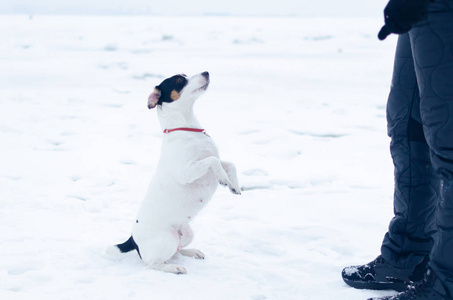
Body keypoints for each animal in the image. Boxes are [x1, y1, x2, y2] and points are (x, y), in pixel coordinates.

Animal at [107, 71, 240, 274]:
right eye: (179, 79)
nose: (206, 72)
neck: (188, 129)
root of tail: (132, 240)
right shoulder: (187, 172)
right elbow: (213, 161)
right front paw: (224, 179)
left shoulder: (211, 161)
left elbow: (229, 163)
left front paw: (234, 185)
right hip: (166, 240)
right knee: (154, 264)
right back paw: (175, 268)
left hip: (186, 234)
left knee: (177, 250)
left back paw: (192, 252)